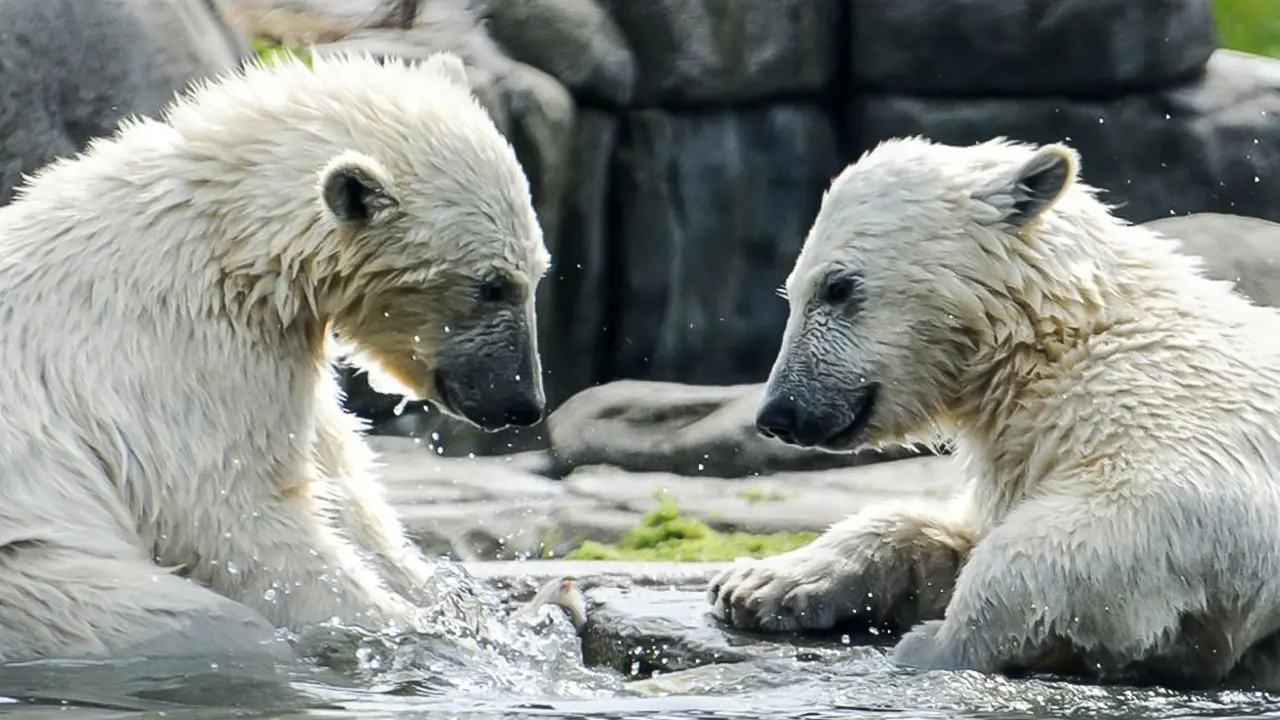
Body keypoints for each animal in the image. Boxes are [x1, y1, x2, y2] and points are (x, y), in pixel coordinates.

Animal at [0, 51, 550, 661]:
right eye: (492, 285)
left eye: (537, 274)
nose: (524, 402)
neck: (229, 243)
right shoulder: (180, 354)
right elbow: (238, 519)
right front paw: (409, 630)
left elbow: (346, 486)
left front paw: (458, 606)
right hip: (39, 578)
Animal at [711, 135, 1280, 691]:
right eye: (791, 290)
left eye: (838, 287)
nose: (778, 413)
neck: (1052, 341)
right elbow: (952, 529)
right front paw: (757, 583)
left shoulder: (1175, 406)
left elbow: (1124, 516)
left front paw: (932, 643)